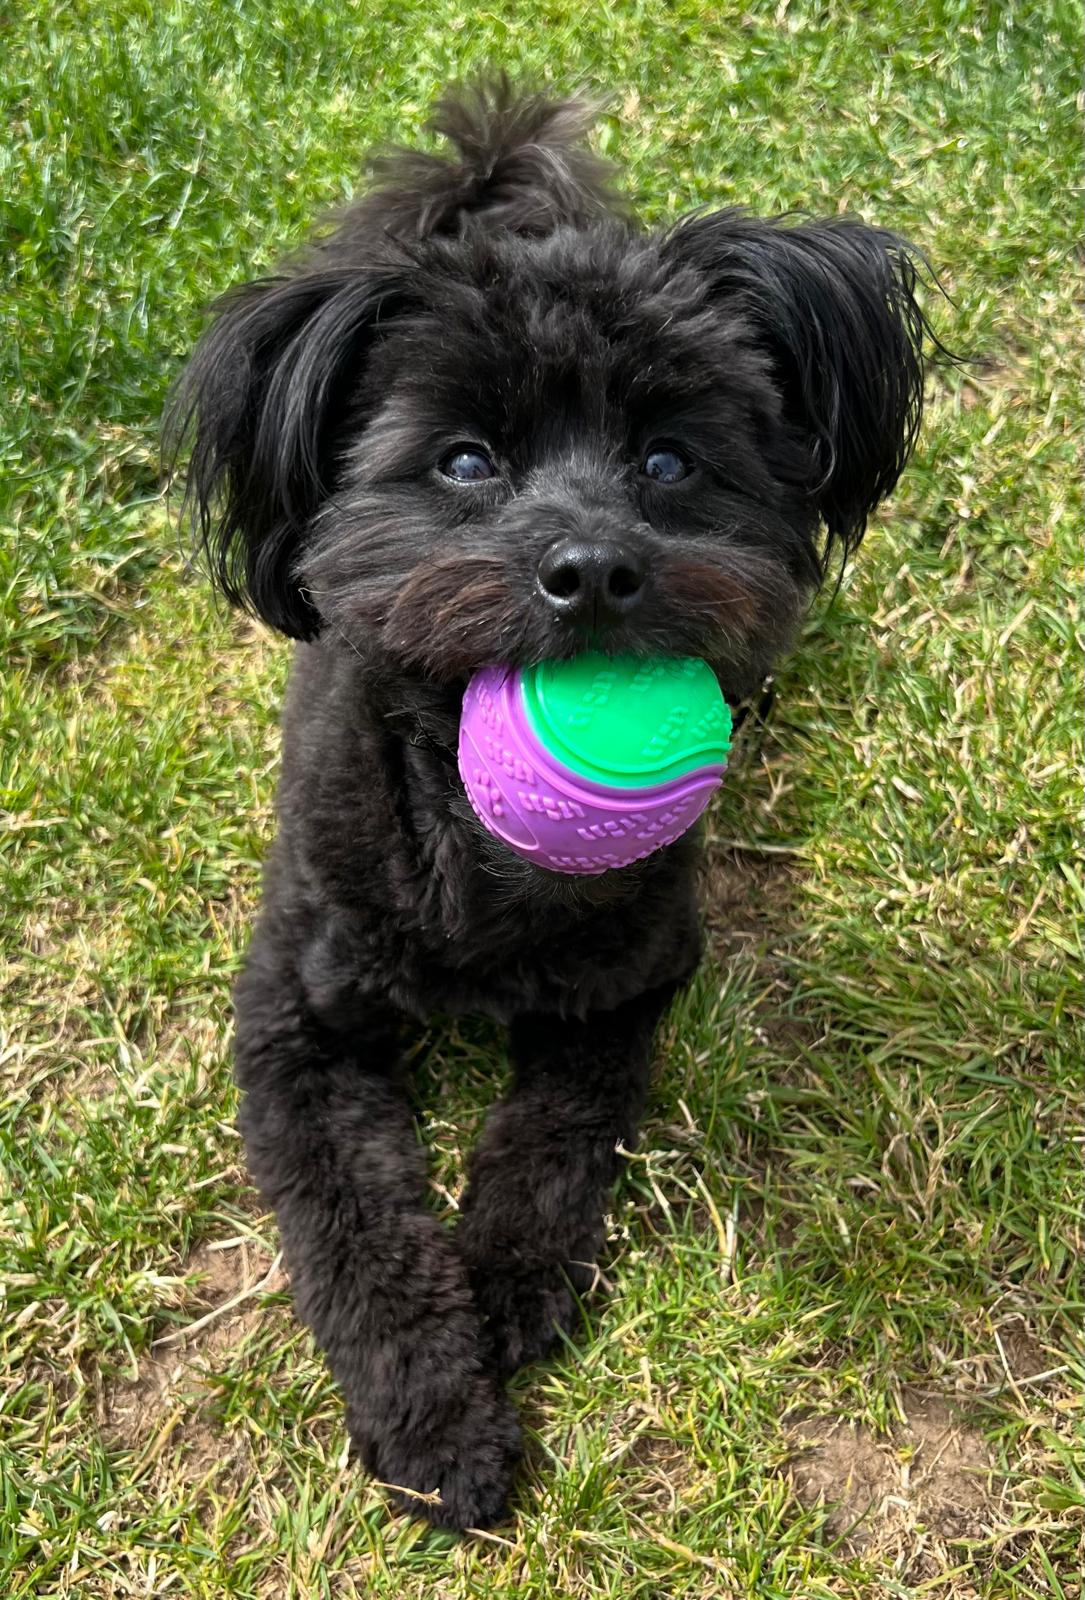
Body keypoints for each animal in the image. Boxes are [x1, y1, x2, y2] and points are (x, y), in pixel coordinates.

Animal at [168, 81, 934, 1529]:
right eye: (465, 461)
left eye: (669, 461)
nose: (591, 567)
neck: (480, 855)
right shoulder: (294, 1022)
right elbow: (354, 1228)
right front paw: (433, 1420)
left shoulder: (628, 980)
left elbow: (555, 1140)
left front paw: (507, 1287)